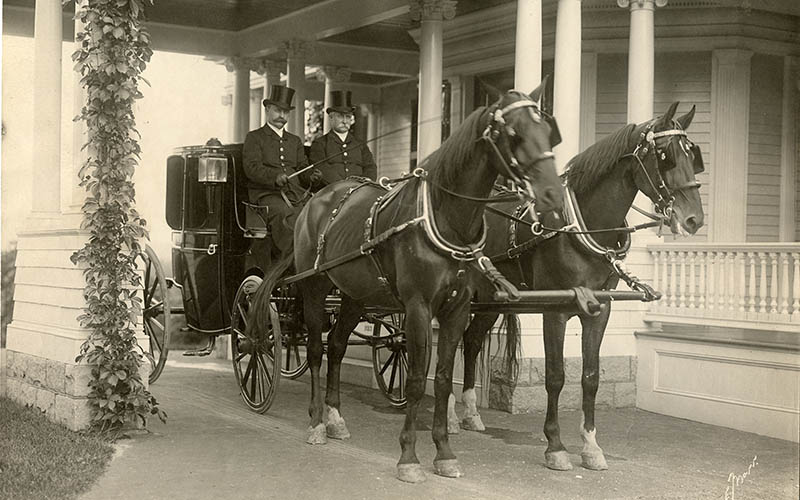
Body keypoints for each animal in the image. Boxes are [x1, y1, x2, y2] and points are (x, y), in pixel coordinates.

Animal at [250, 88, 564, 482]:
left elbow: (442, 378)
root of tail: (312, 201)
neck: (445, 218)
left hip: (355, 295)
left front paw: (444, 452)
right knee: (316, 351)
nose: (553, 195)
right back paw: (317, 422)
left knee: (336, 346)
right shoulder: (418, 307)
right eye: (514, 134)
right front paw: (409, 457)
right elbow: (415, 377)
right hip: (315, 287)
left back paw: (335, 418)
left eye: (548, 131)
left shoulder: (457, 308)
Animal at [450, 102, 708, 472]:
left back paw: (470, 412)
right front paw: (555, 446)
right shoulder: (554, 311)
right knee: (448, 342)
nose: (693, 219)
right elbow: (556, 376)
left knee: (470, 342)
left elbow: (590, 377)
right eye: (666, 156)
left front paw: (590, 446)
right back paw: (449, 418)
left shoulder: (600, 310)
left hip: (491, 300)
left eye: (692, 154)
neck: (582, 227)